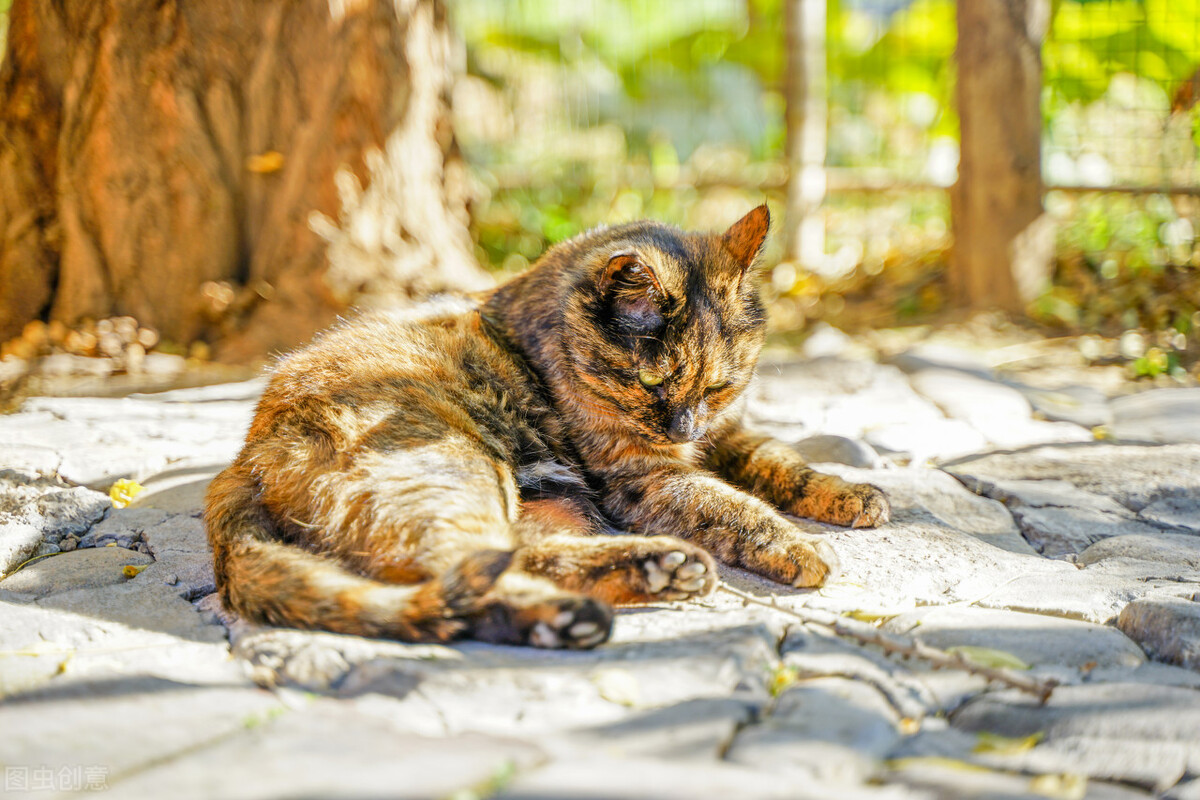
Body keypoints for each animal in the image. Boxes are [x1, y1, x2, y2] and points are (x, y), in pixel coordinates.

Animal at [201, 206, 888, 652]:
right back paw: (585, 608)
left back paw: (651, 574)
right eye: (651, 385)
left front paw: (852, 495)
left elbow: (783, 461)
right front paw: (802, 546)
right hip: (455, 466)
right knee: (455, 569)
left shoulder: (732, 432)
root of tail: (246, 455)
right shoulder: (645, 476)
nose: (682, 428)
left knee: (512, 556)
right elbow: (729, 504)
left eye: (718, 386)